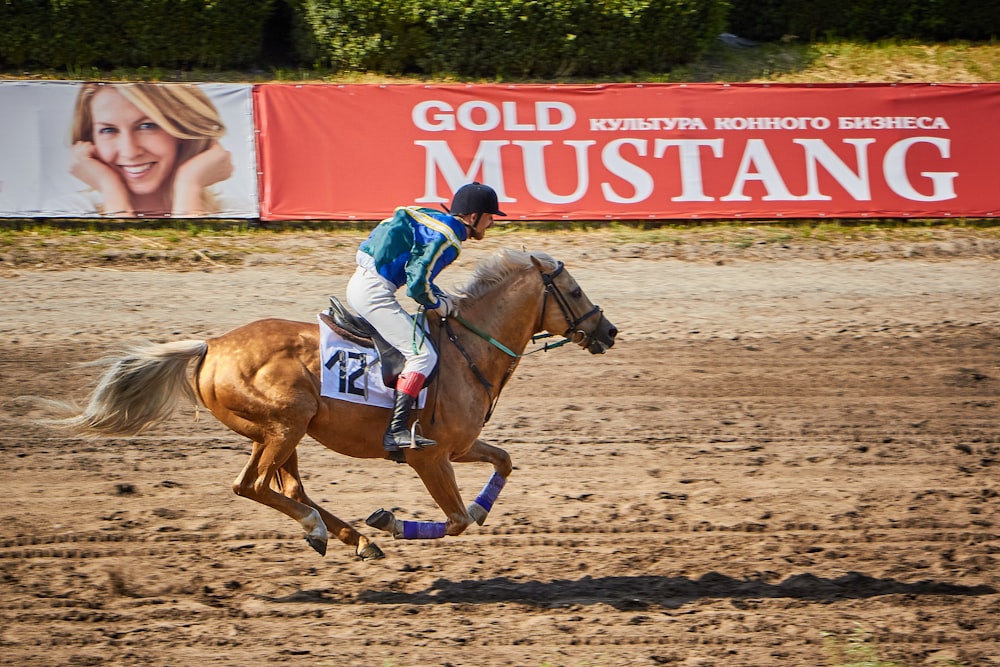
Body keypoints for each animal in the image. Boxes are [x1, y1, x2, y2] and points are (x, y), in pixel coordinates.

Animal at [56, 248, 616, 560]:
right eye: (573, 290)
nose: (608, 330)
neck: (468, 350)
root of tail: (211, 345)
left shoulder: (460, 447)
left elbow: (503, 462)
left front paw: (477, 508)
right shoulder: (429, 457)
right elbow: (455, 520)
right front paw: (392, 521)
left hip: (284, 432)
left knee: (288, 487)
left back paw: (347, 536)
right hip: (285, 425)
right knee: (252, 486)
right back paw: (329, 529)